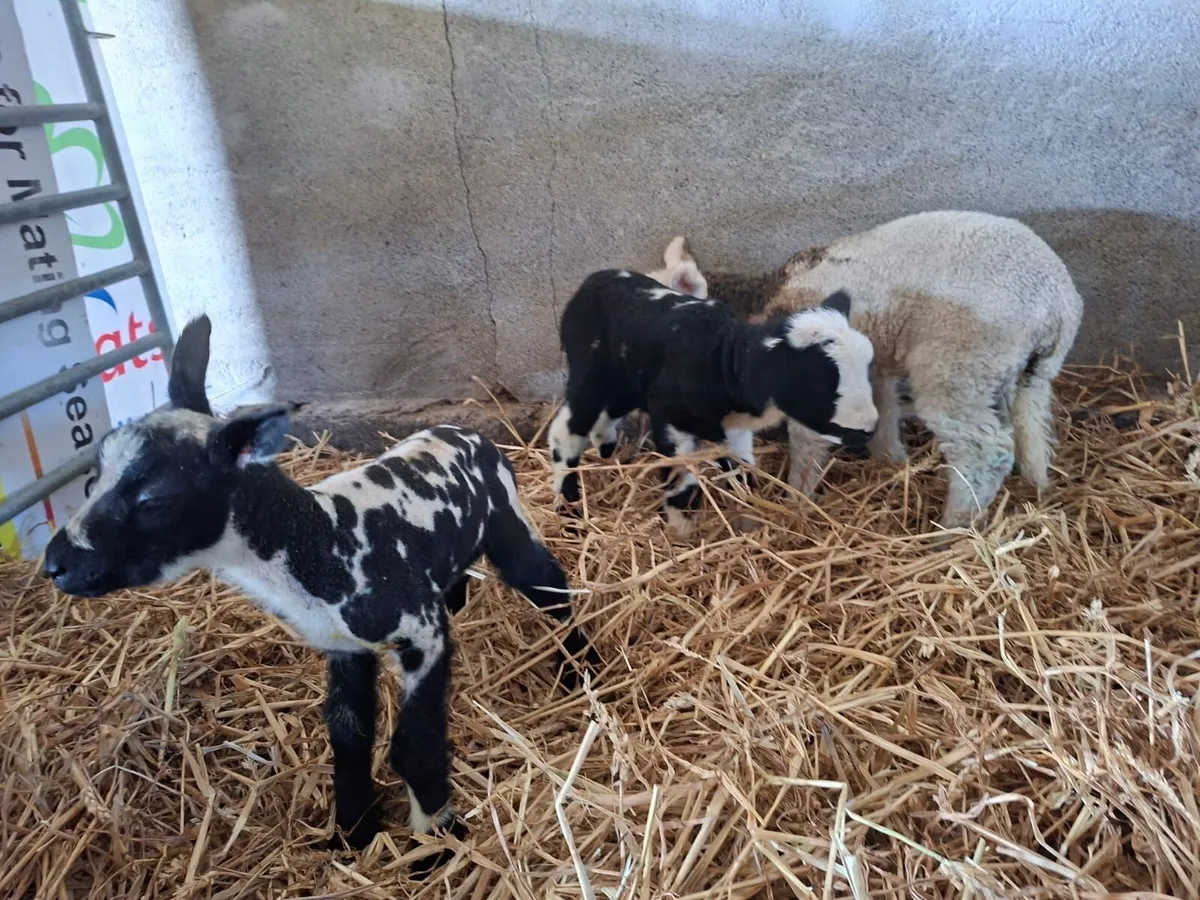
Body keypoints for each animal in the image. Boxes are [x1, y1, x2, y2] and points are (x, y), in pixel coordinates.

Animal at [40, 315, 600, 873]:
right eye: (93, 476)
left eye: (155, 497)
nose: (56, 564)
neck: (321, 540)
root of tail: (468, 431)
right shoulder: (344, 646)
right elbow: (349, 736)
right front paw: (353, 832)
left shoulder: (423, 634)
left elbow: (414, 745)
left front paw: (436, 846)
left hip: (507, 520)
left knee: (550, 583)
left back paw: (582, 666)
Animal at [548, 269, 878, 532]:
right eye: (818, 384)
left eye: (868, 366)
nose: (869, 428)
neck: (722, 361)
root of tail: (595, 279)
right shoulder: (671, 421)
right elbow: (682, 486)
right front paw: (681, 536)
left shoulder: (734, 431)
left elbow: (742, 474)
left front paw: (747, 520)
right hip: (591, 373)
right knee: (565, 432)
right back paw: (568, 507)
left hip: (626, 383)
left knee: (605, 418)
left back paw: (606, 449)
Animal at [647, 211, 1084, 532]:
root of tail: (1058, 304)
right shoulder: (867, 367)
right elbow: (883, 409)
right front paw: (890, 461)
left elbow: (807, 441)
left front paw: (797, 501)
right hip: (1025, 371)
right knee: (1031, 423)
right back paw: (1037, 484)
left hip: (960, 363)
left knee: (983, 451)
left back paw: (951, 531)